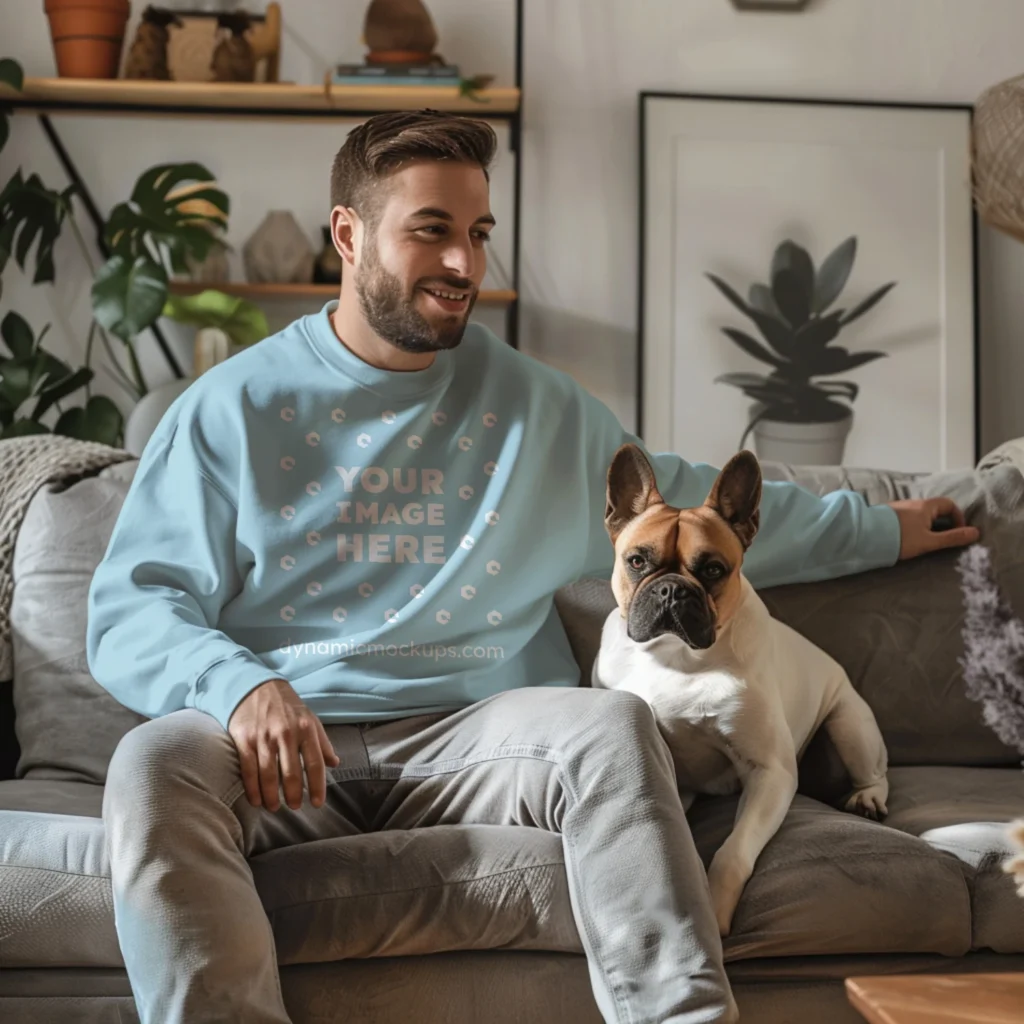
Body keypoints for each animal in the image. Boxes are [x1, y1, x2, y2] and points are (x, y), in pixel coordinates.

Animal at [593, 440, 888, 937]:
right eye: (637, 561)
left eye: (714, 569)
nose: (672, 590)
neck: (677, 657)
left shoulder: (770, 773)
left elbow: (732, 851)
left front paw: (714, 909)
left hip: (851, 726)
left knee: (874, 771)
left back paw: (868, 798)